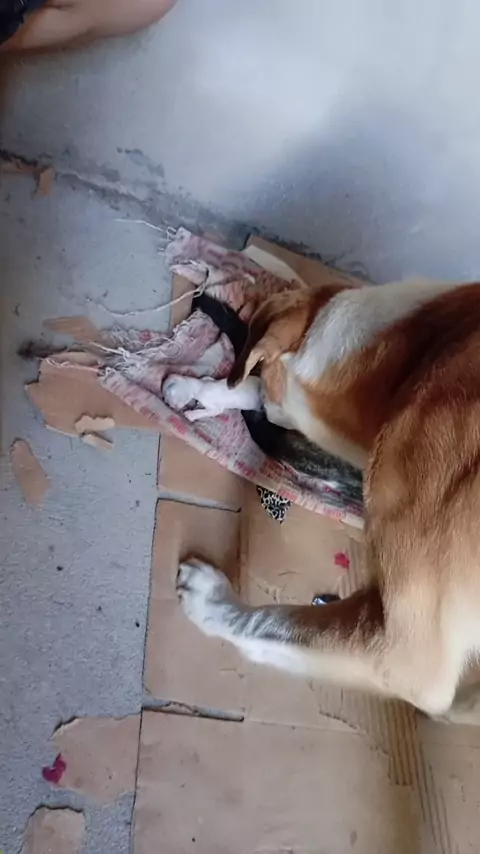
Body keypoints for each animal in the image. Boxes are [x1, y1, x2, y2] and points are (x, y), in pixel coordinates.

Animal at [165, 277, 480, 724]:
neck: (411, 364)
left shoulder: (407, 651)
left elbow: (275, 624)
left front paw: (210, 599)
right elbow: (246, 388)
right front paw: (203, 390)